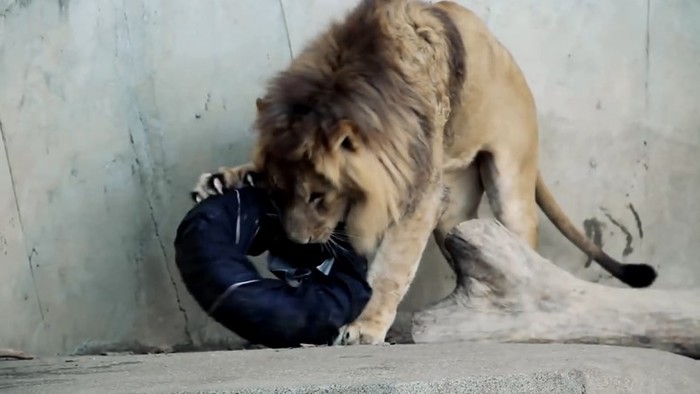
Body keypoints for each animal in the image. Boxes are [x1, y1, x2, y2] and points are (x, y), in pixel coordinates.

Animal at [190, 0, 656, 344]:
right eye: (276, 194)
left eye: (318, 197)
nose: (297, 243)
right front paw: (223, 178)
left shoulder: (419, 195)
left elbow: (390, 268)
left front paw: (365, 327)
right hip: (454, 212)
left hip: (508, 184)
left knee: (523, 250)